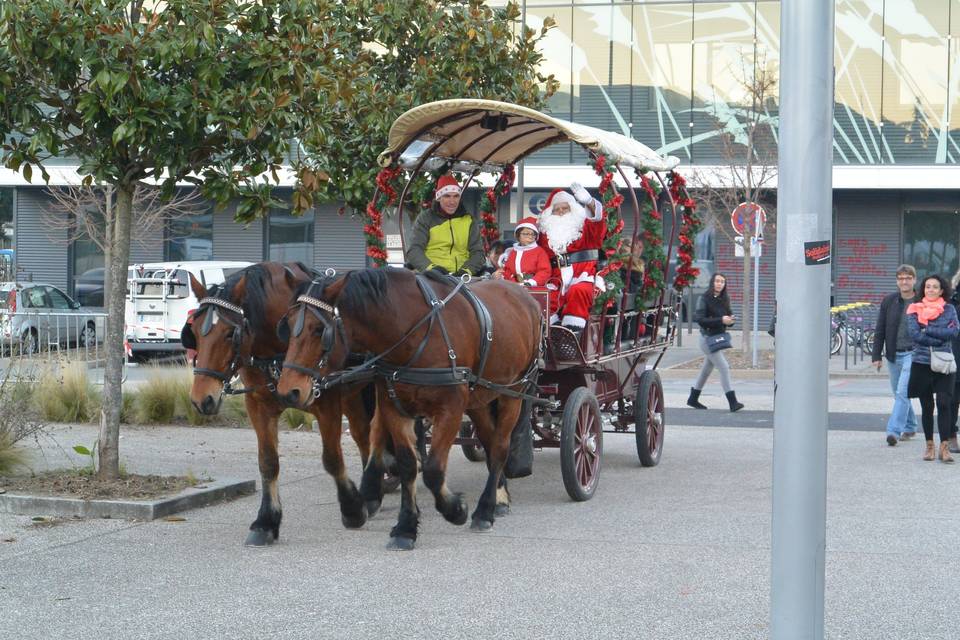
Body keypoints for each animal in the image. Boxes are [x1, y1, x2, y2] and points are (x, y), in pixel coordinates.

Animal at [186, 260, 374, 544]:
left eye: (230, 334)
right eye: (195, 332)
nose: (201, 399)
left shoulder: (327, 401)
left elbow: (332, 458)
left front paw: (352, 509)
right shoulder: (258, 405)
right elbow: (268, 462)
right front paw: (266, 521)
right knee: (364, 435)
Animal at [278, 268, 544, 552]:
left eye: (319, 330)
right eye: (287, 325)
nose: (288, 391)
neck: (413, 333)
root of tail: (523, 295)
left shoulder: (451, 409)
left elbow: (434, 470)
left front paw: (455, 509)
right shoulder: (393, 405)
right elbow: (408, 464)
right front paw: (405, 527)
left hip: (513, 392)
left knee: (501, 447)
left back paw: (485, 510)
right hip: (480, 398)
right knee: (490, 441)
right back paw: (499, 497)